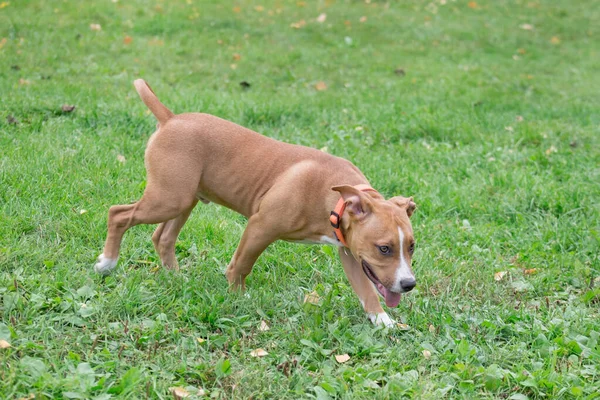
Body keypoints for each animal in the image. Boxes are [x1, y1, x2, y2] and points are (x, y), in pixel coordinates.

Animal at [95, 79, 418, 326]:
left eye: (412, 247)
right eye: (384, 248)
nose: (409, 284)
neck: (334, 197)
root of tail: (170, 118)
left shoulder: (350, 253)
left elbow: (367, 290)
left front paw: (383, 321)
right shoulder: (261, 226)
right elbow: (241, 265)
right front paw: (238, 296)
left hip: (183, 200)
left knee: (162, 237)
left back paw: (176, 278)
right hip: (168, 199)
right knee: (118, 214)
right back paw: (107, 263)